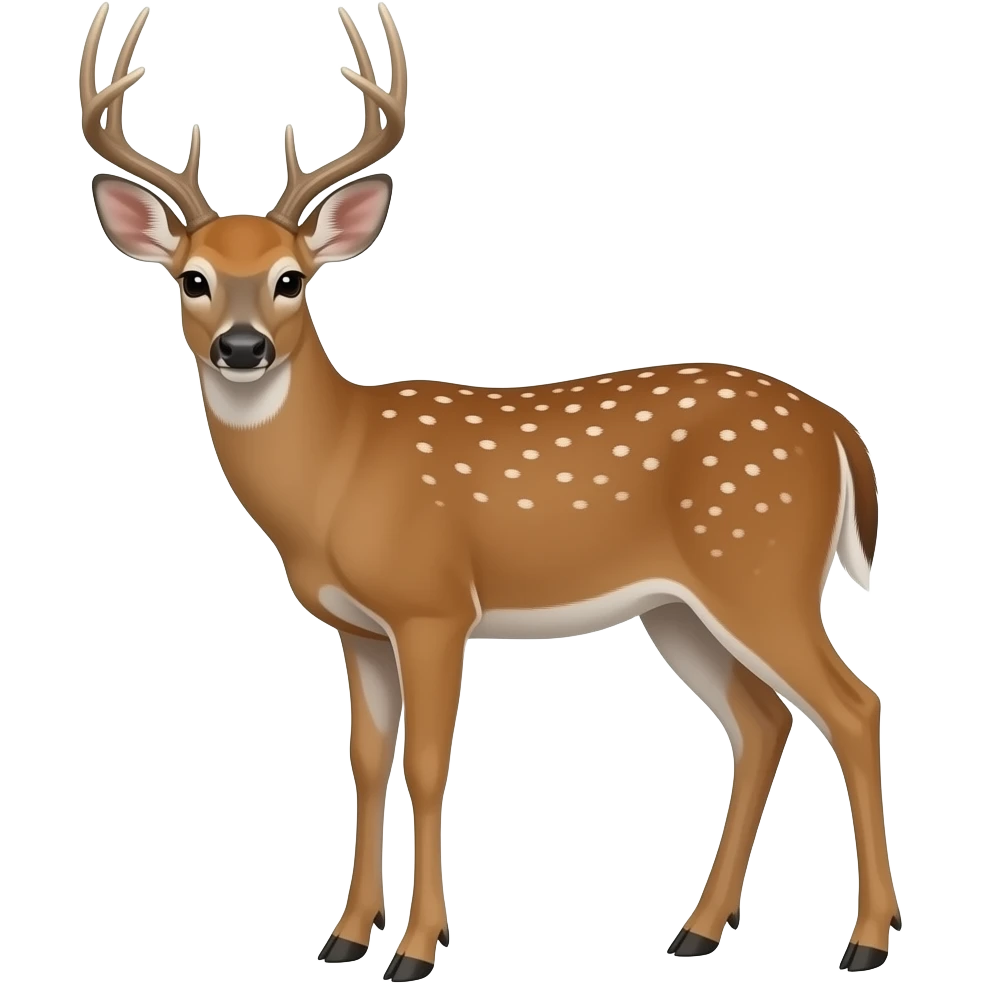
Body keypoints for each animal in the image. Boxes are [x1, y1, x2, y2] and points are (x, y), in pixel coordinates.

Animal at [80, 3, 899, 978]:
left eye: (292, 278)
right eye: (192, 278)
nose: (243, 348)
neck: (337, 472)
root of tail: (838, 430)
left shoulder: (434, 604)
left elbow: (429, 763)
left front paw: (416, 948)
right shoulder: (359, 625)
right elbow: (366, 759)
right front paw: (344, 936)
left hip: (761, 566)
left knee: (852, 705)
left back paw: (863, 939)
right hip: (678, 606)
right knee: (762, 718)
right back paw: (697, 928)